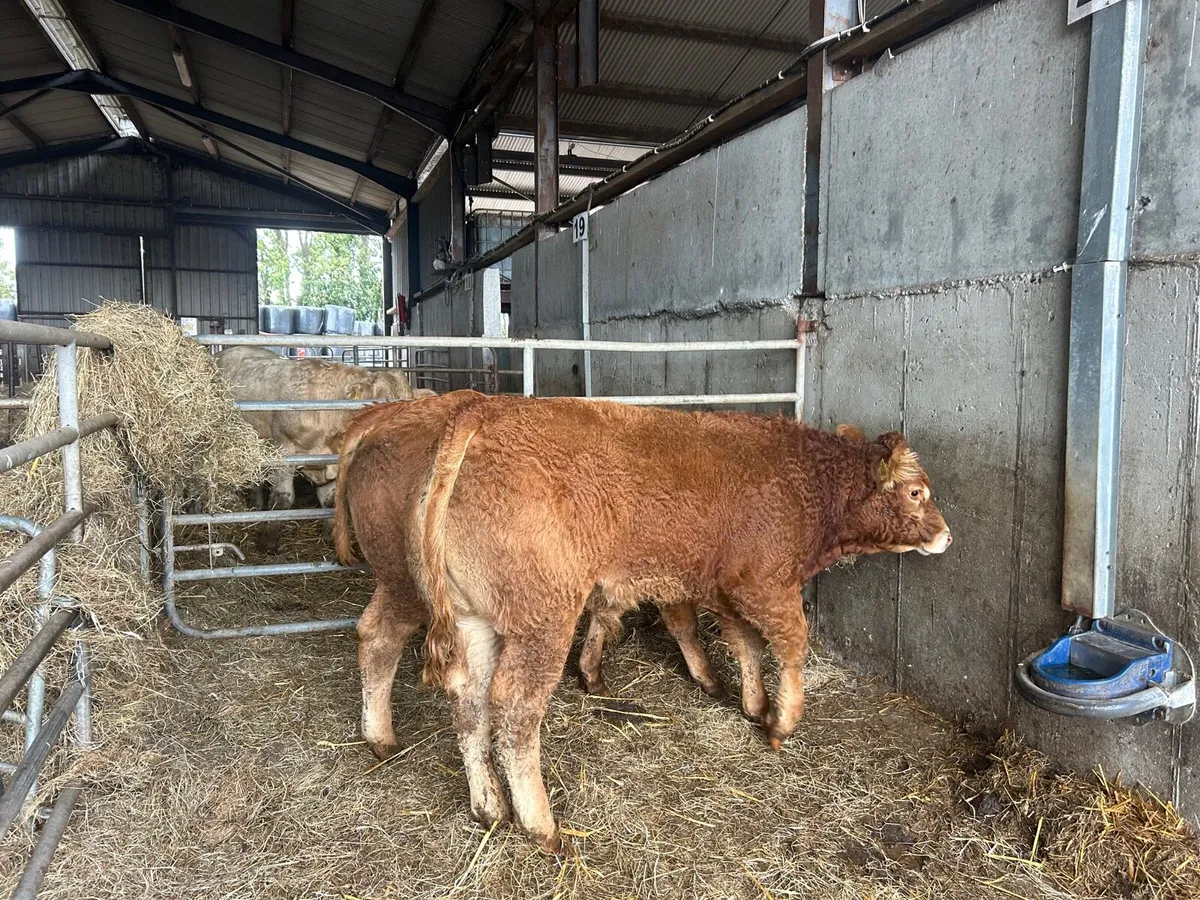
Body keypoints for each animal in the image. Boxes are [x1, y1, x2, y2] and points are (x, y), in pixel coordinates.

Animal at [336, 392, 951, 852]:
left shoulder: (716, 585)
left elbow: (738, 642)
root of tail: (477, 413)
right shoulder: (764, 584)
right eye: (916, 491)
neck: (803, 480)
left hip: (468, 616)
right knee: (505, 701)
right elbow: (789, 644)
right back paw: (538, 823)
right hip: (530, 615)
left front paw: (743, 698)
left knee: (465, 694)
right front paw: (781, 719)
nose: (946, 535)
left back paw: (485, 804)